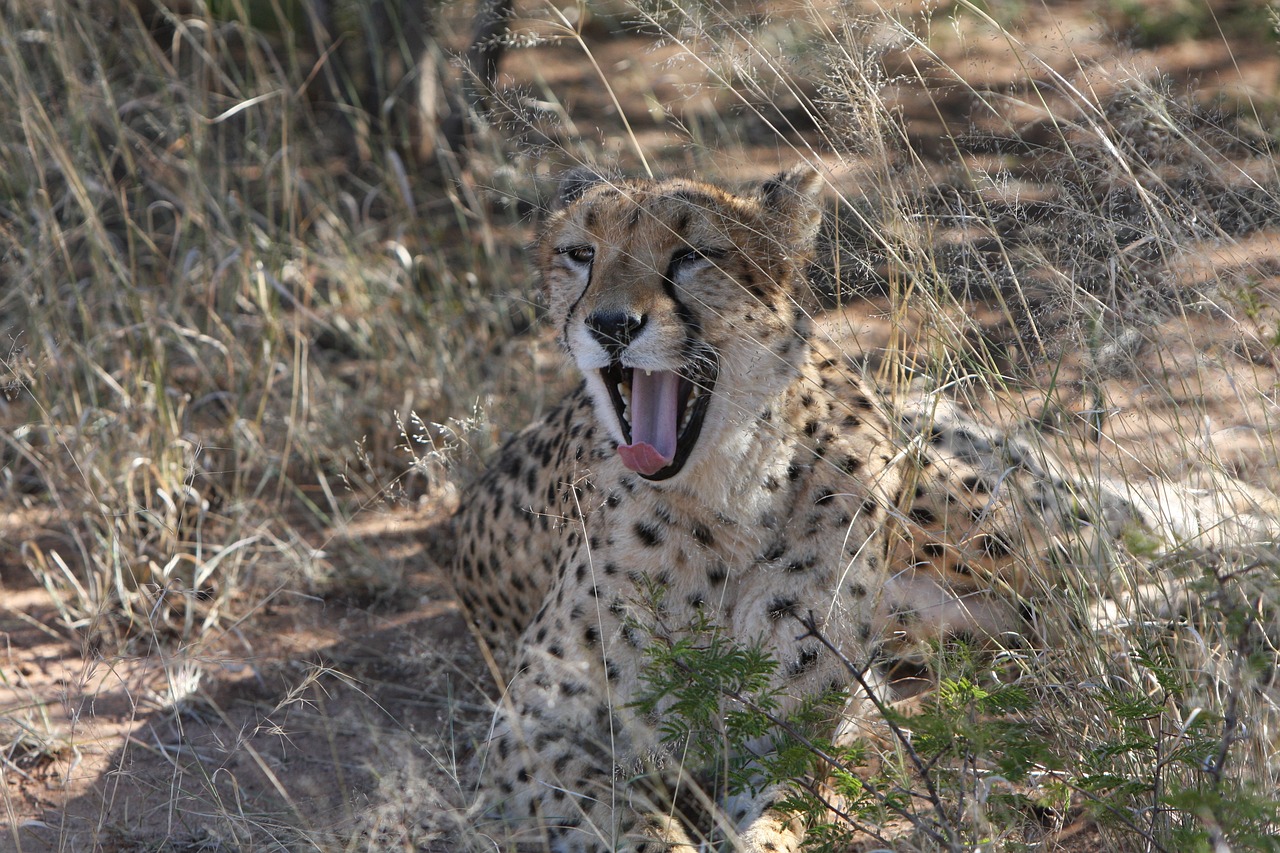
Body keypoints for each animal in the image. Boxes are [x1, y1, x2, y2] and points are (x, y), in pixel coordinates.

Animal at [450, 163, 1269, 845]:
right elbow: (622, 818)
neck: (717, 502)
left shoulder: (789, 732)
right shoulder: (531, 736)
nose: (611, 325)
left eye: (692, 255)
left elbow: (781, 819)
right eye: (580, 253)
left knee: (1114, 560)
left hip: (965, 515)